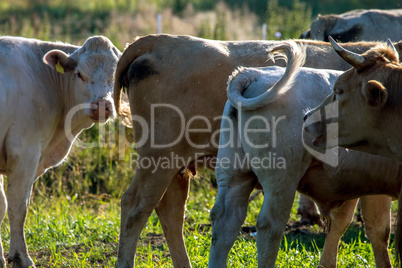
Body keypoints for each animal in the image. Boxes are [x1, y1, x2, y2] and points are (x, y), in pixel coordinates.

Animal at [0, 36, 121, 268]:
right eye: (80, 74)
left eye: (115, 75)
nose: (102, 106)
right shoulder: (25, 153)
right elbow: (16, 207)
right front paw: (21, 257)